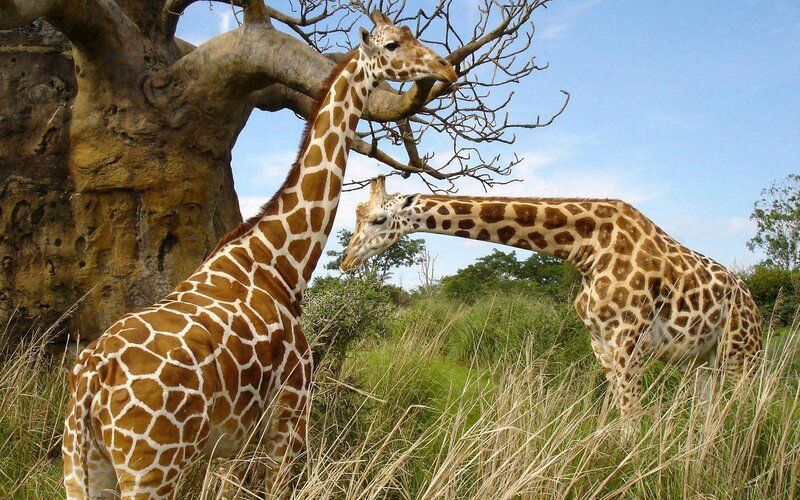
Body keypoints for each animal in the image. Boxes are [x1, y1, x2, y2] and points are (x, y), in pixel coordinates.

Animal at [62, 15, 456, 499]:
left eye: (411, 34)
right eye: (392, 45)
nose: (445, 67)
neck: (279, 264)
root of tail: (90, 381)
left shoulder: (233, 439)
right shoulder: (291, 411)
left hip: (82, 465)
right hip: (150, 467)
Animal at [340, 177, 762, 418]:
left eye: (378, 219)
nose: (346, 261)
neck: (585, 248)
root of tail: (752, 302)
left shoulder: (629, 338)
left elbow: (631, 418)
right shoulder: (600, 341)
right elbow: (613, 415)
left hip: (742, 356)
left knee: (745, 412)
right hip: (703, 361)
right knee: (708, 416)